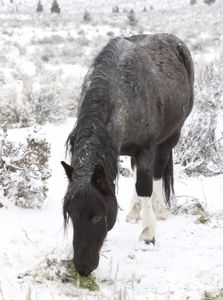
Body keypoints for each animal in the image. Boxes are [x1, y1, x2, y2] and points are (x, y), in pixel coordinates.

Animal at [61, 33, 193, 276]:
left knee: (157, 172)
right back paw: (134, 211)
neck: (119, 91)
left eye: (97, 216)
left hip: (170, 138)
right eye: (71, 215)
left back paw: (159, 209)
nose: (83, 267)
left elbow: (145, 186)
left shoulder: (147, 148)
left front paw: (148, 235)